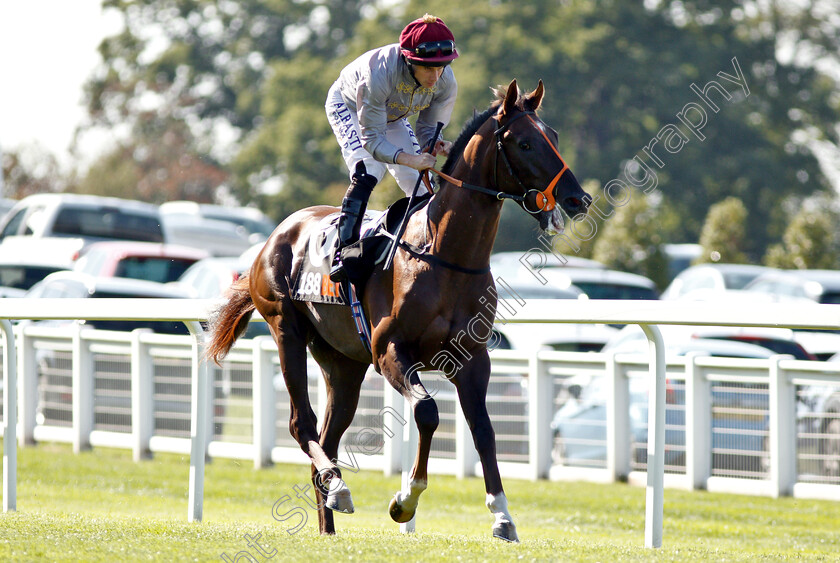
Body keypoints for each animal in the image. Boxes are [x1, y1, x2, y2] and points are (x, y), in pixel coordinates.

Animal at [208, 79, 592, 540]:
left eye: (553, 136)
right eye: (524, 142)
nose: (579, 198)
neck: (445, 256)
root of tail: (274, 236)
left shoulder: (472, 358)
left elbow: (483, 430)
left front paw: (502, 515)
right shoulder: (390, 351)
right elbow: (426, 412)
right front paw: (405, 499)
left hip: (343, 362)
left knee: (329, 435)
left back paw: (329, 520)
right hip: (287, 330)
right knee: (302, 424)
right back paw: (339, 487)